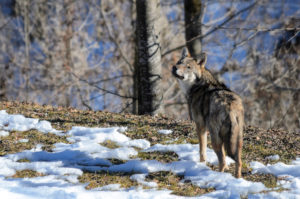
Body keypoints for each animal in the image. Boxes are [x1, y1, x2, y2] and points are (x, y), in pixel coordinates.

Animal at [171, 48, 244, 179]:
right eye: (179, 62)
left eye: (188, 67)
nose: (174, 67)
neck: (197, 85)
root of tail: (230, 107)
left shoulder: (200, 126)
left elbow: (202, 151)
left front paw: (201, 164)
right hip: (238, 140)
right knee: (238, 161)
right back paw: (237, 179)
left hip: (215, 139)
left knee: (222, 161)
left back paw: (218, 176)